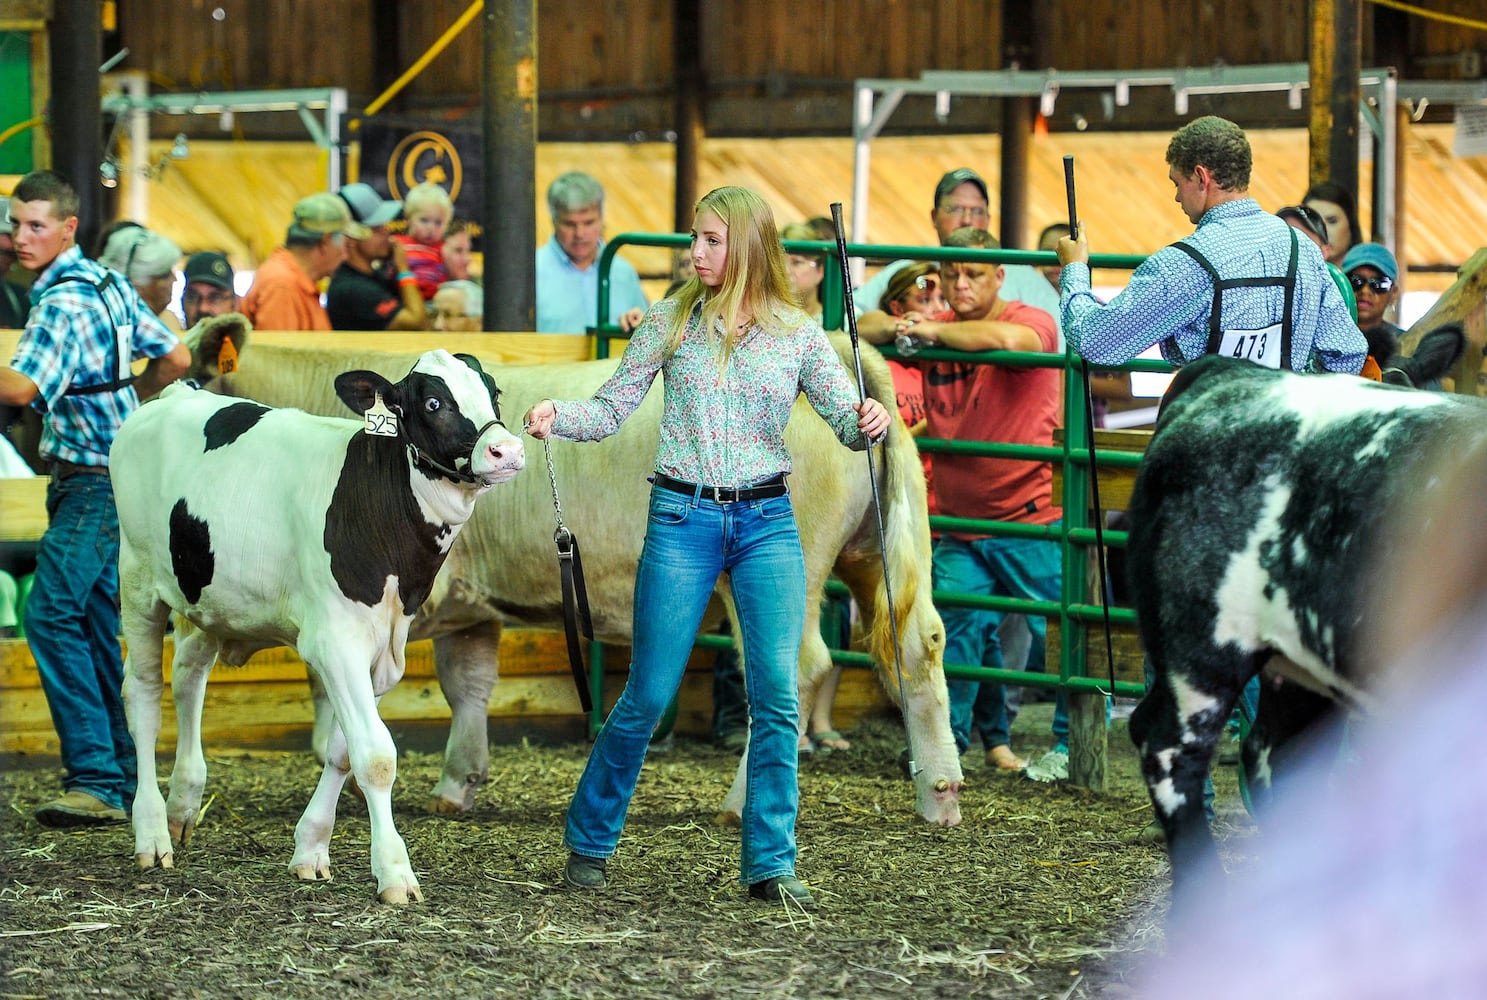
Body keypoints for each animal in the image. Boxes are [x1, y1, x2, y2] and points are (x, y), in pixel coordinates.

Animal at [110, 348, 520, 904]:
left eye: (493, 391)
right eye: (434, 402)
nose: (507, 450)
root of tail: (176, 394)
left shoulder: (384, 650)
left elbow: (343, 753)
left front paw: (310, 848)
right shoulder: (336, 642)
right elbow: (376, 756)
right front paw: (394, 871)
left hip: (207, 600)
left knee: (188, 678)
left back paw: (181, 808)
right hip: (137, 582)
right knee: (144, 697)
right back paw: (152, 832)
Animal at [217, 336, 963, 827]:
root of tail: (834, 346)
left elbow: (334, 697)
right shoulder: (471, 604)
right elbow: (468, 685)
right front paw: (459, 781)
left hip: (786, 570)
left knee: (798, 670)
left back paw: (740, 802)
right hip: (875, 553)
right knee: (915, 645)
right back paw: (939, 791)